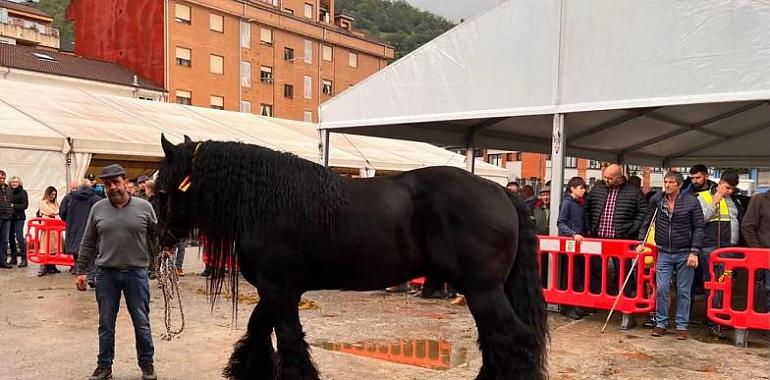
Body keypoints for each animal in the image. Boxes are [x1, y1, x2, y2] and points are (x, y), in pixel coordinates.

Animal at [158, 135, 544, 378]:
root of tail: (501, 192)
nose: (160, 238)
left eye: (160, 188)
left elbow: (289, 341)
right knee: (497, 341)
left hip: (483, 291)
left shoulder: (279, 290)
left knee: (512, 339)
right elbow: (257, 332)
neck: (268, 204)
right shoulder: (274, 292)